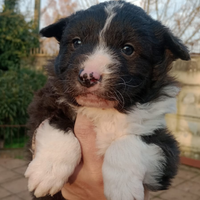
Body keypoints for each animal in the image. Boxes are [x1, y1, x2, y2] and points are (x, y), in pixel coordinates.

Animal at [24, 0, 189, 199]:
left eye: (128, 49)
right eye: (76, 42)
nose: (88, 76)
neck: (104, 111)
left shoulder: (166, 146)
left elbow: (128, 142)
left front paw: (123, 188)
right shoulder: (44, 104)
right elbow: (58, 127)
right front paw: (47, 172)